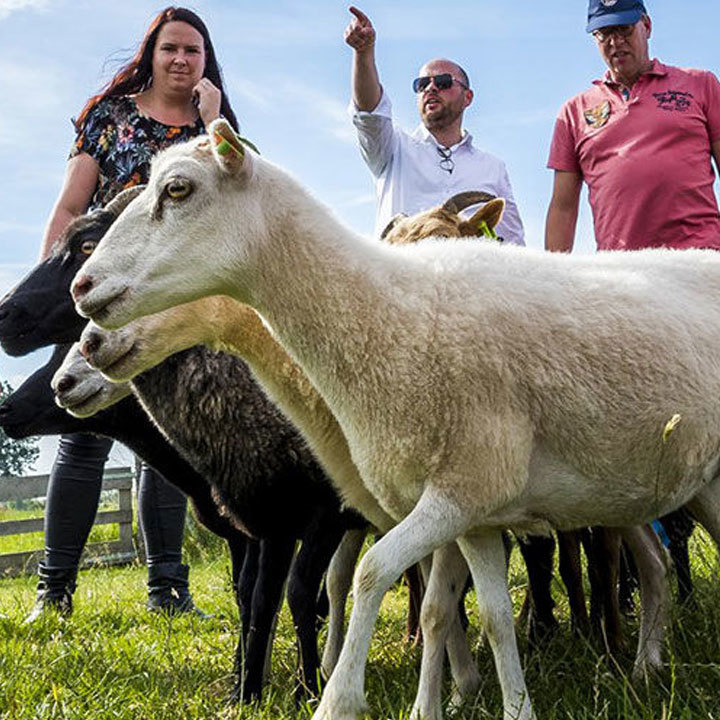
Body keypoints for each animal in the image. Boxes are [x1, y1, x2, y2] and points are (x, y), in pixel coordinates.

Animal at [71, 119, 720, 720]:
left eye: (178, 189)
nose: (83, 289)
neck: (392, 313)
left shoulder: (459, 490)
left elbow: (372, 574)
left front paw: (340, 697)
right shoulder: (476, 512)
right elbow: (483, 614)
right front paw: (507, 706)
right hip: (682, 483)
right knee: (655, 560)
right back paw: (645, 665)